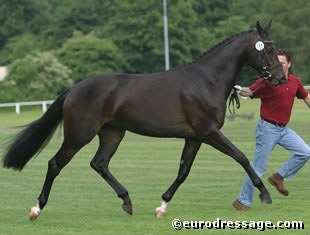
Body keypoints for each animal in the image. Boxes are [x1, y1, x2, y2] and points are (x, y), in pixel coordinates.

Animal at [1, 20, 286, 220]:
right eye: (270, 49)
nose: (280, 78)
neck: (206, 81)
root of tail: (73, 90)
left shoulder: (194, 137)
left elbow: (183, 171)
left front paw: (162, 205)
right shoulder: (209, 133)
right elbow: (242, 157)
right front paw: (265, 194)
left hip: (112, 133)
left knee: (99, 163)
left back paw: (127, 201)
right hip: (79, 135)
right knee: (55, 164)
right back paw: (36, 209)